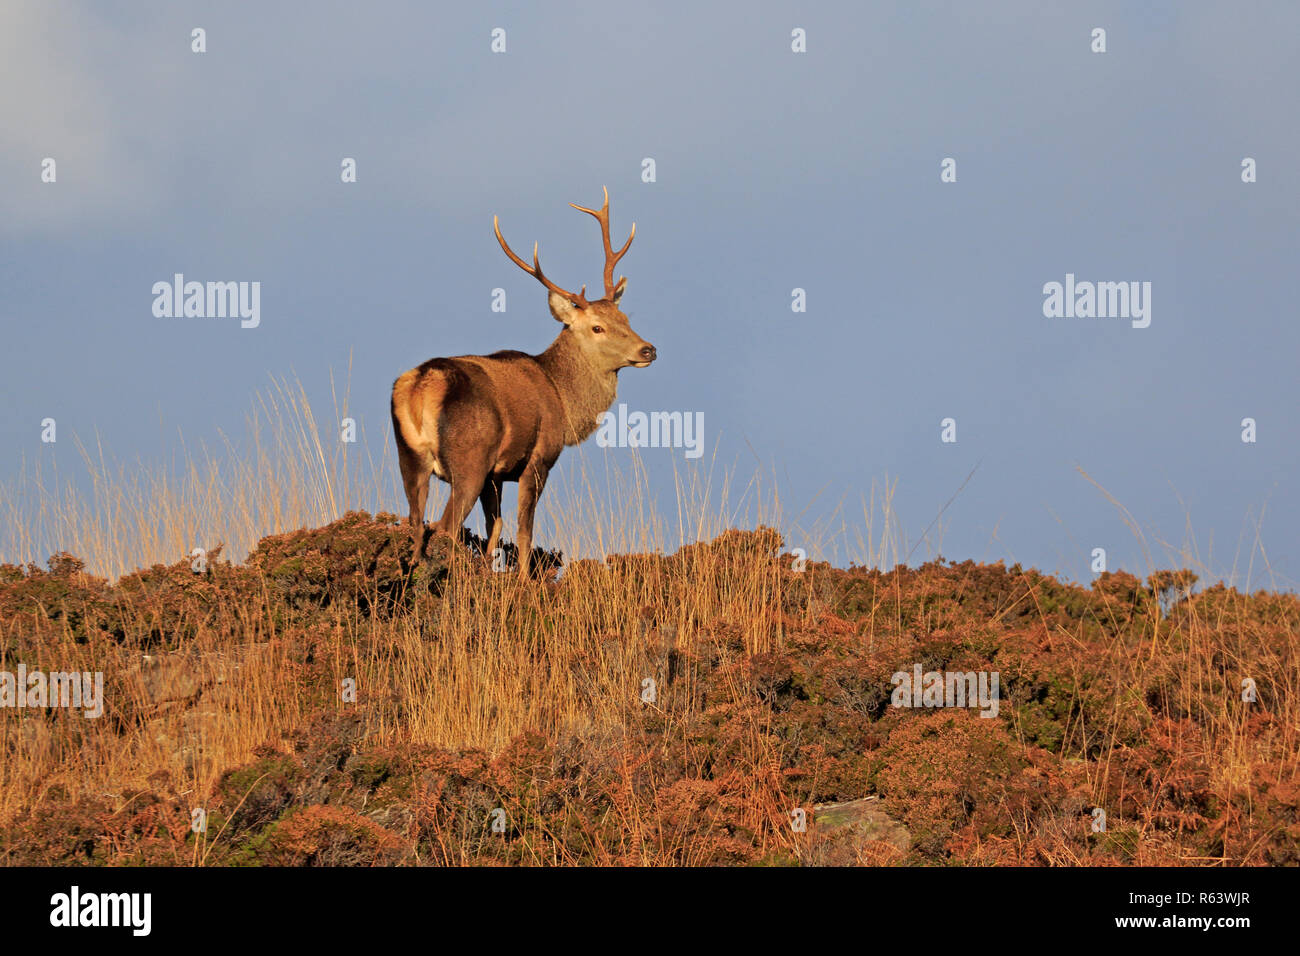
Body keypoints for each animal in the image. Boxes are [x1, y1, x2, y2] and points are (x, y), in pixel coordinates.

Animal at [382, 185, 650, 574]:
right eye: (597, 327)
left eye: (625, 318)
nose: (648, 350)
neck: (561, 398)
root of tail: (421, 384)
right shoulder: (537, 458)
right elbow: (525, 530)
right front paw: (523, 579)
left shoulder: (495, 475)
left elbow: (495, 528)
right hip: (469, 457)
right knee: (445, 526)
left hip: (409, 458)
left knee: (418, 527)